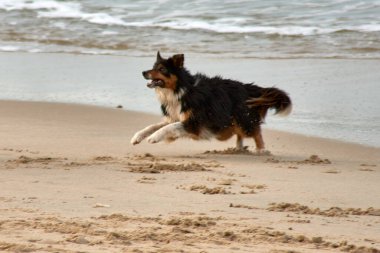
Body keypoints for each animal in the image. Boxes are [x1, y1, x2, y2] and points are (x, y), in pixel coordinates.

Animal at [131, 50, 290, 151]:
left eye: (162, 69)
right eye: (153, 67)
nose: (143, 72)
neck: (180, 90)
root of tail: (250, 87)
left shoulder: (193, 122)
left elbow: (168, 127)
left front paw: (154, 137)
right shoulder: (174, 117)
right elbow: (153, 126)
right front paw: (137, 137)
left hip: (242, 119)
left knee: (255, 132)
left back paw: (261, 150)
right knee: (241, 133)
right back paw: (238, 148)